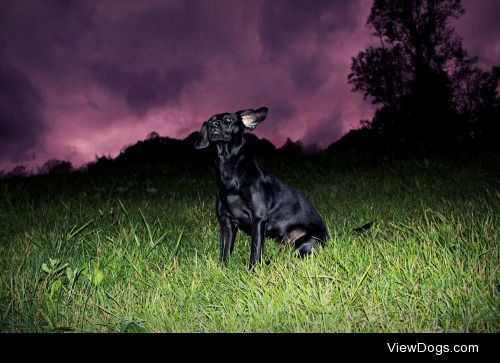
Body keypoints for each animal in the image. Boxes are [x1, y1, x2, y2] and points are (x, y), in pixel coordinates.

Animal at [193, 106, 326, 268]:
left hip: (305, 243)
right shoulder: (227, 222)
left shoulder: (258, 220)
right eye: (210, 121)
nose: (213, 125)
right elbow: (225, 251)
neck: (231, 174)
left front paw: (252, 270)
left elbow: (255, 252)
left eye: (228, 120)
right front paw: (223, 269)